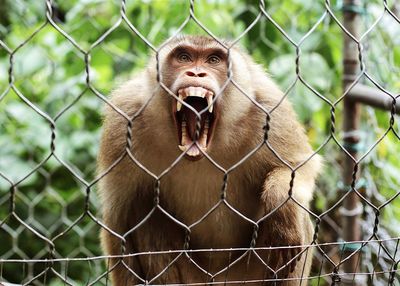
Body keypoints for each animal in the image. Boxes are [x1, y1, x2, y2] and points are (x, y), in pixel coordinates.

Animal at [97, 34, 322, 284]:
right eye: (184, 57)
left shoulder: (270, 109)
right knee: (142, 206)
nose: (196, 73)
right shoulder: (123, 118)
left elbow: (299, 167)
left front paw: (281, 204)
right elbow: (118, 220)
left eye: (213, 60)